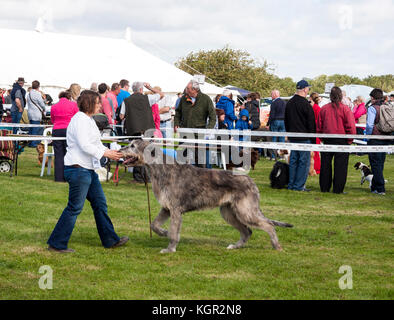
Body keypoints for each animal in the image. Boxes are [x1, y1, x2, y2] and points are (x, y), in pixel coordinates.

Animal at [120, 140, 292, 252]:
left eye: (133, 146)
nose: (120, 151)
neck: (161, 169)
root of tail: (251, 181)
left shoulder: (175, 209)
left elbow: (174, 231)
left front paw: (170, 248)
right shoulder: (166, 208)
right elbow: (154, 224)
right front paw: (163, 232)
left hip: (245, 210)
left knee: (268, 225)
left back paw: (276, 246)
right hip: (228, 212)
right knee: (247, 231)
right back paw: (235, 246)